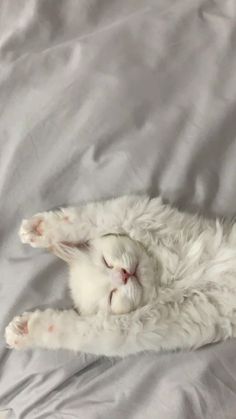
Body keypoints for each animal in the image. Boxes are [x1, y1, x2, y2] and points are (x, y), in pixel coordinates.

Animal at [4, 197, 236, 358]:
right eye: (112, 295)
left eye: (106, 262)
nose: (123, 274)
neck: (166, 277)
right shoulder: (139, 329)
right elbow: (72, 331)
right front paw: (24, 330)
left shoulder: (142, 214)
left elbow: (93, 218)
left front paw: (38, 228)